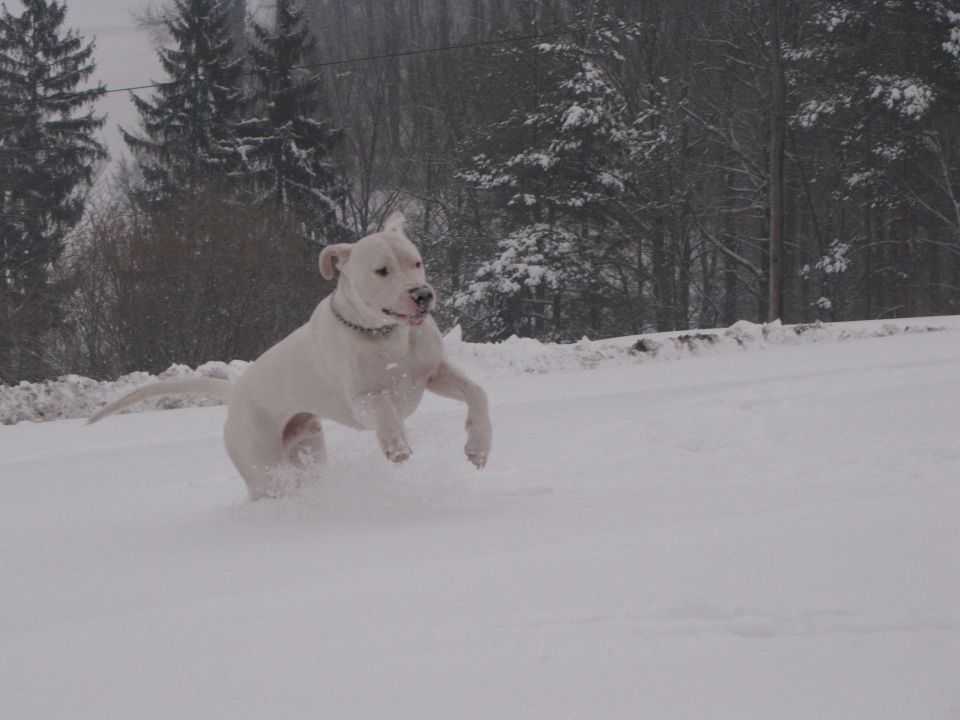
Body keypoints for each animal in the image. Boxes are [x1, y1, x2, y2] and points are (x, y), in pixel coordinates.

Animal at [88, 211, 496, 498]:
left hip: (305, 447)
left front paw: (478, 445)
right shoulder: (362, 399)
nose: (422, 294)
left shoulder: (433, 373)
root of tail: (236, 392)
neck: (385, 334)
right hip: (262, 464)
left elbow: (477, 392)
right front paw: (395, 444)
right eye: (381, 270)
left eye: (416, 262)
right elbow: (383, 407)